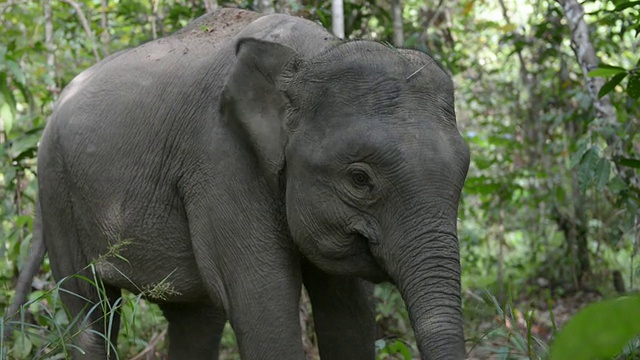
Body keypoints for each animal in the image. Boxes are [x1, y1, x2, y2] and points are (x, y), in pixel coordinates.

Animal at [7, 6, 470, 360]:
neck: (310, 55)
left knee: (194, 318)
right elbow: (263, 301)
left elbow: (348, 309)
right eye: (359, 179)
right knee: (90, 309)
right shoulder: (220, 161)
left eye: (462, 176)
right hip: (58, 191)